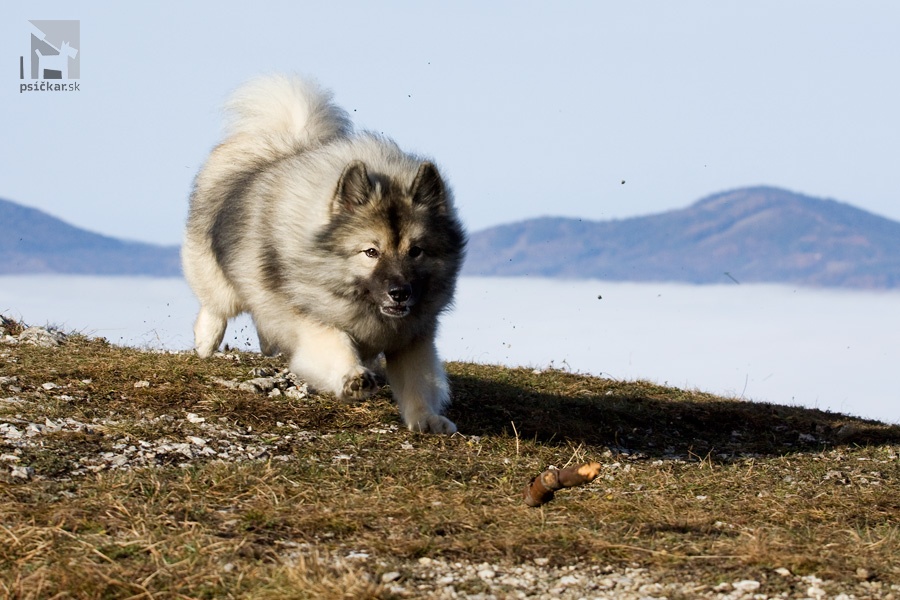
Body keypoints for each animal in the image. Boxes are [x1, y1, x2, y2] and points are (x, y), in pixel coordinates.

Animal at [180, 75, 468, 434]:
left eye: (416, 251)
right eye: (371, 252)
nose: (400, 293)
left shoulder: (412, 338)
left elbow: (419, 382)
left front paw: (427, 419)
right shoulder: (312, 318)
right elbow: (335, 343)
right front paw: (354, 378)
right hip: (218, 273)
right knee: (216, 304)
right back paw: (206, 342)